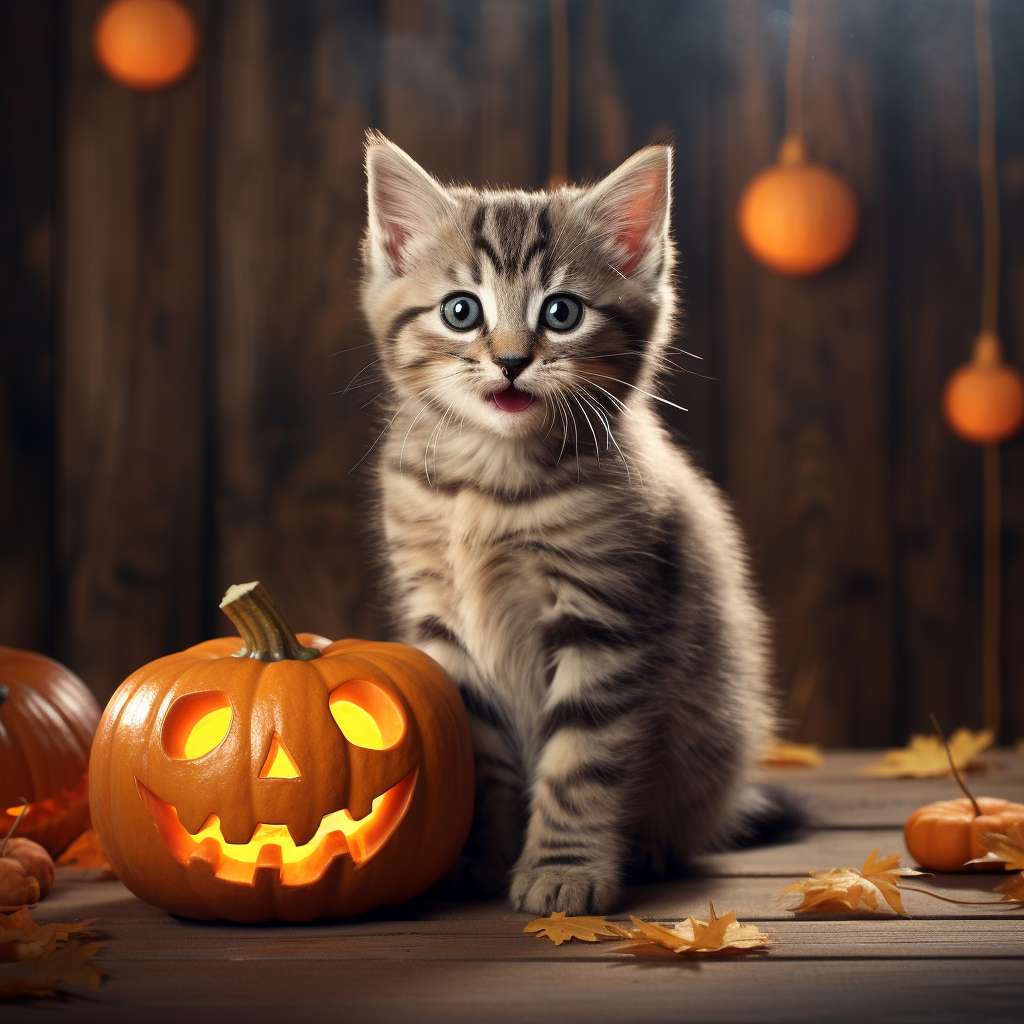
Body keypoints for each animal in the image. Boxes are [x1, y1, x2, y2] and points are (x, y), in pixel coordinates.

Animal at [360, 132, 798, 917]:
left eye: (561, 313)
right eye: (461, 311)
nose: (510, 360)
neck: (489, 484)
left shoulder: (606, 616)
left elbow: (582, 760)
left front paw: (563, 869)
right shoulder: (441, 618)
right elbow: (475, 746)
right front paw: (473, 856)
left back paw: (651, 850)